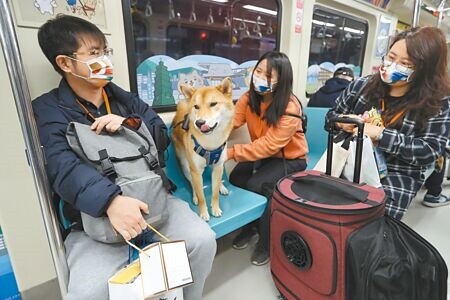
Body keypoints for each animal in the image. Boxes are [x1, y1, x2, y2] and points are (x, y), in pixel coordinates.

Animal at [171, 77, 236, 220]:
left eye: (213, 104)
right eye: (196, 106)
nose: (199, 122)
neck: (211, 142)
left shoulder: (218, 165)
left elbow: (215, 193)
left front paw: (215, 208)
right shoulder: (195, 171)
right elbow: (201, 196)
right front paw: (204, 212)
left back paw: (222, 187)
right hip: (186, 166)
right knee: (193, 185)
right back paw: (195, 197)